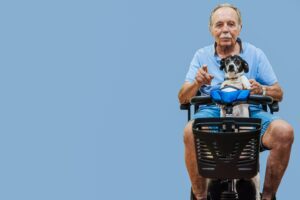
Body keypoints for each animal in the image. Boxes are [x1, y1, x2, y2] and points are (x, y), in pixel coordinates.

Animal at [218, 54, 260, 200]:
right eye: (227, 61)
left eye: (237, 61)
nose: (231, 66)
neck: (233, 80)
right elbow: (223, 85)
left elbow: (244, 79)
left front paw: (245, 82)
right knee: (233, 182)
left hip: (256, 176)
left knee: (257, 192)